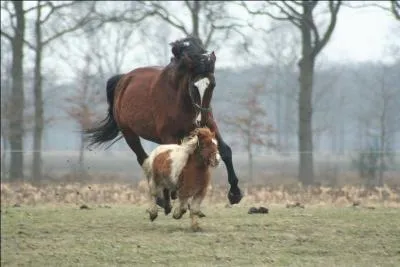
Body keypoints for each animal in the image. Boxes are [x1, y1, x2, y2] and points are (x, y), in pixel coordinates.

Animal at [84, 37, 242, 209]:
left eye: (212, 84)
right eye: (194, 85)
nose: (200, 120)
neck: (181, 100)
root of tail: (124, 79)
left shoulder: (210, 128)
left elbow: (225, 151)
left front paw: (235, 193)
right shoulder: (169, 135)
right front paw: (174, 194)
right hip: (129, 134)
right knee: (144, 160)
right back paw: (162, 198)